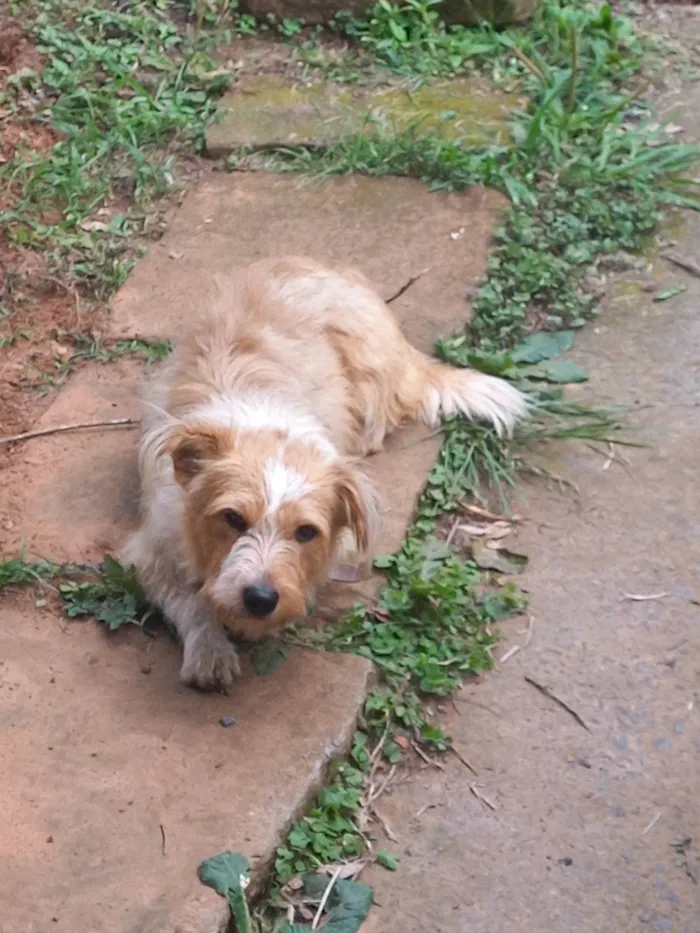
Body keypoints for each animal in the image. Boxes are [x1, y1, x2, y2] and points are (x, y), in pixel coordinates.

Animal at [123, 256, 528, 692]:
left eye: (305, 533)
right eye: (232, 519)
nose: (260, 599)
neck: (265, 426)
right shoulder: (153, 546)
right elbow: (188, 600)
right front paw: (210, 650)